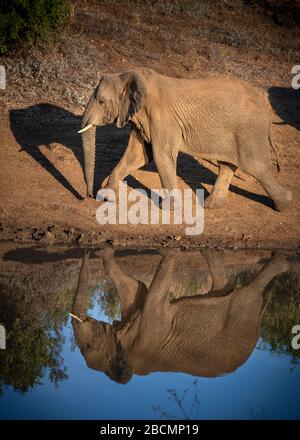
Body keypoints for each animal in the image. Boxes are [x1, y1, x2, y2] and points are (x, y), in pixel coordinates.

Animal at [71, 248, 290, 382]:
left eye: (89, 345)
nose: (87, 251)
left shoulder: (147, 330)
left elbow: (153, 295)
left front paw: (168, 252)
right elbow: (134, 287)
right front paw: (104, 251)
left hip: (243, 314)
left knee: (250, 292)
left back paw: (282, 262)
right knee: (222, 285)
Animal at [78, 67, 292, 211]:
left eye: (101, 102)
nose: (89, 196)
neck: (131, 75)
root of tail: (265, 109)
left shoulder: (163, 119)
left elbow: (161, 156)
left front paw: (169, 209)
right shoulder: (142, 120)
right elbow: (138, 156)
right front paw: (108, 197)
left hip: (249, 132)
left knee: (256, 167)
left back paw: (284, 205)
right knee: (227, 165)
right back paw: (210, 205)